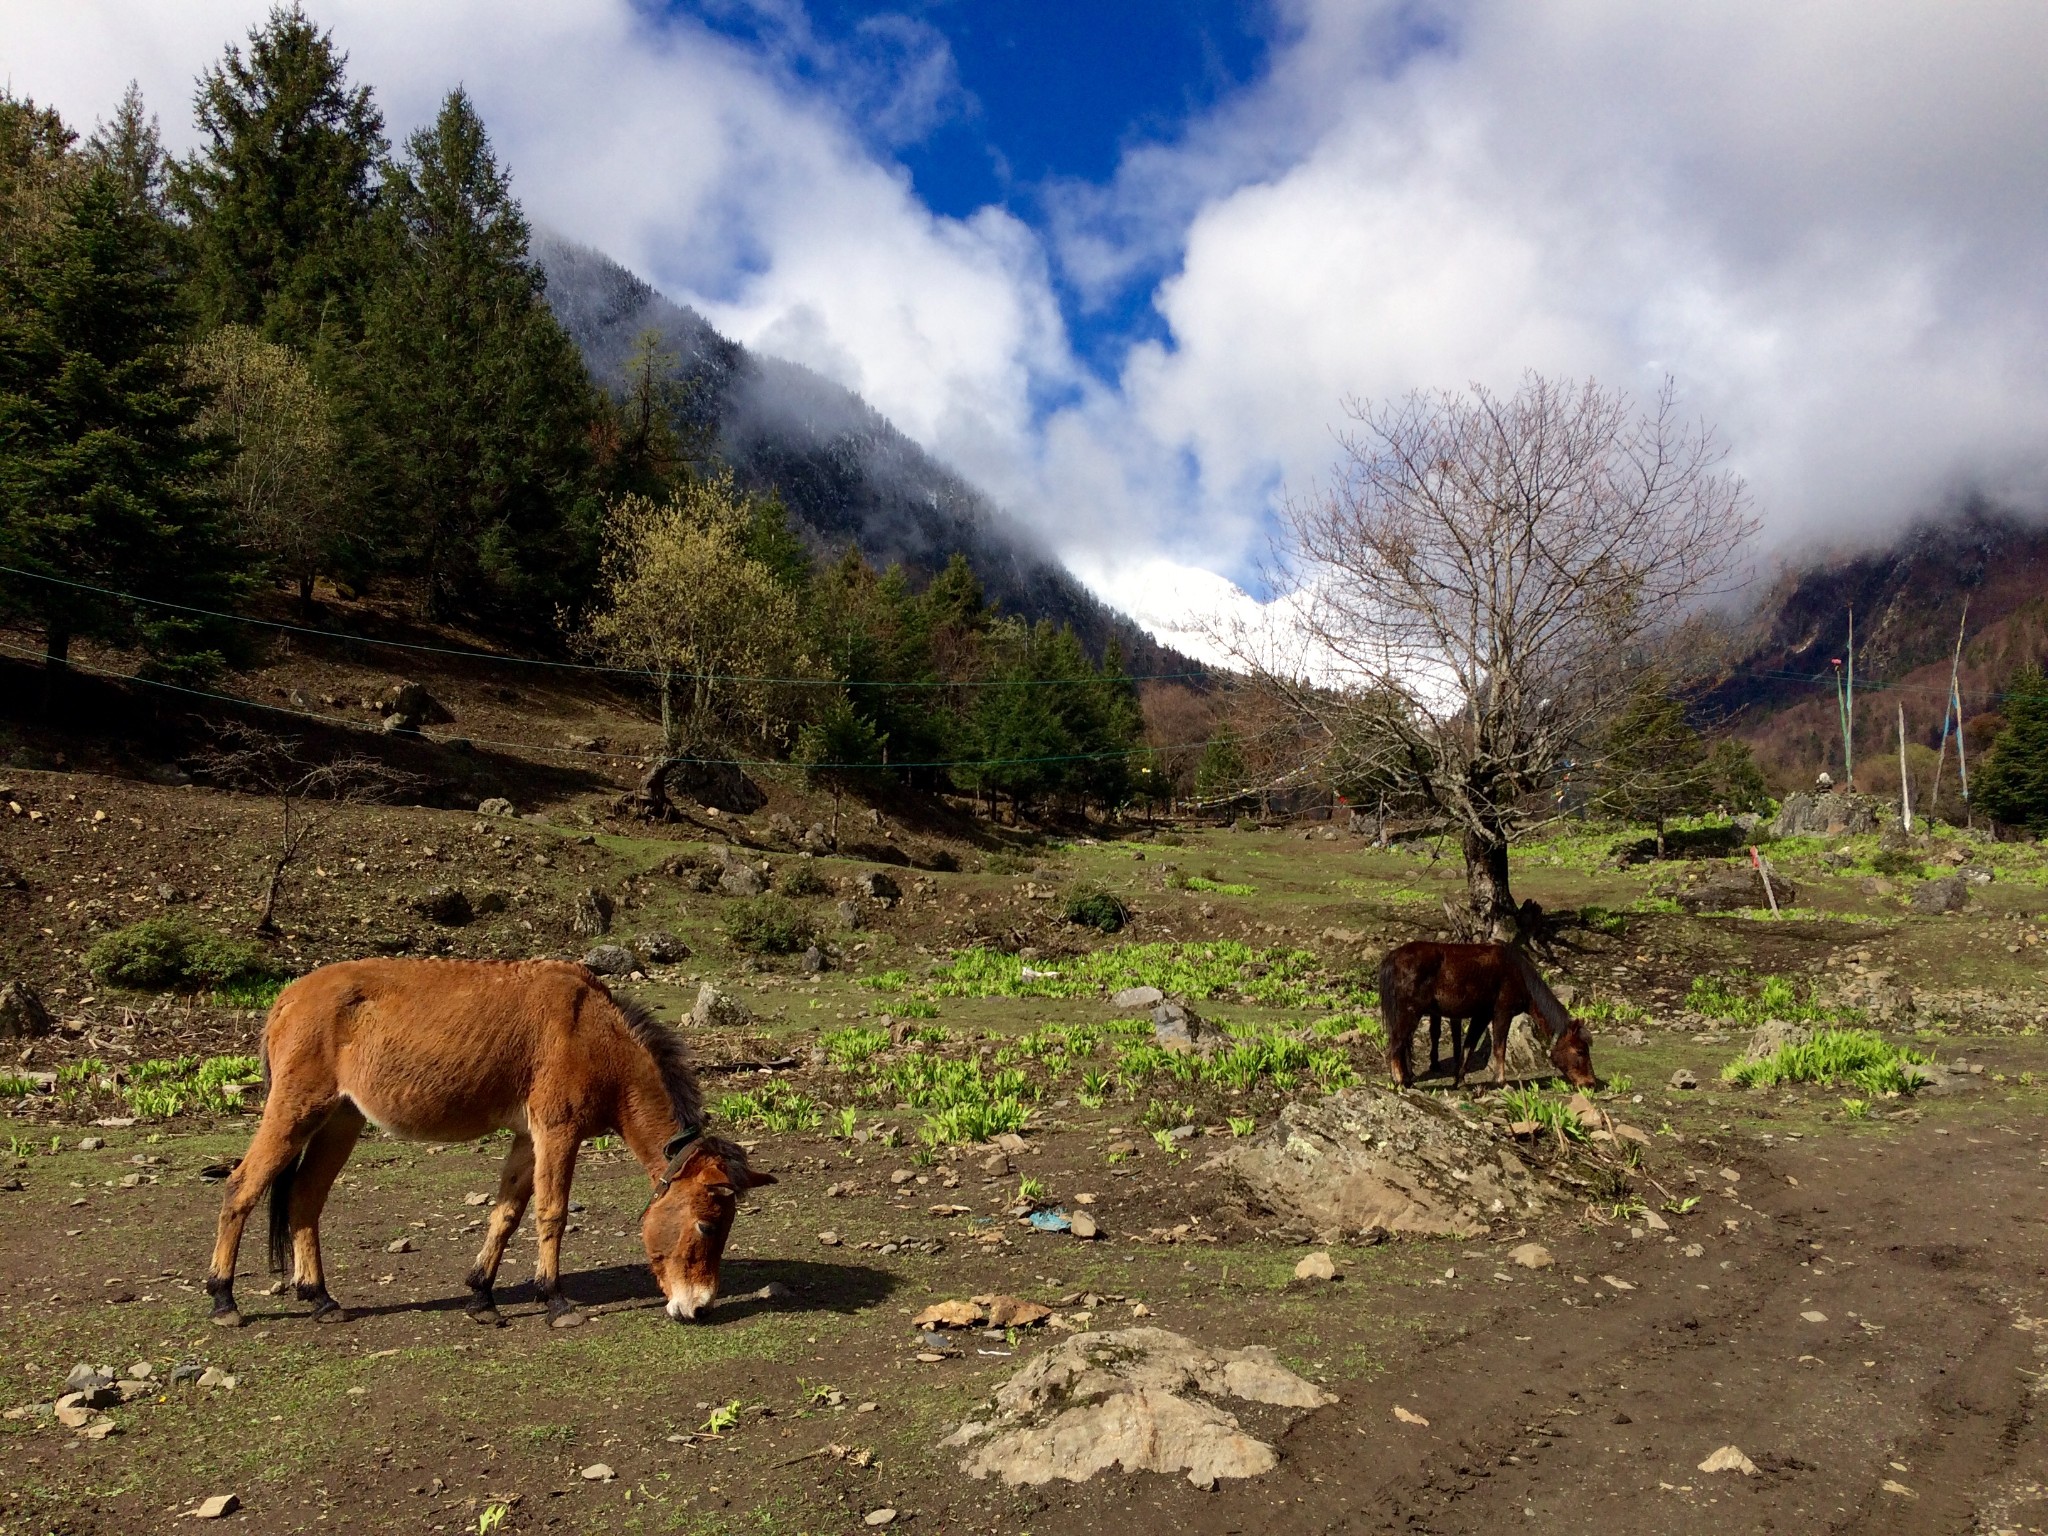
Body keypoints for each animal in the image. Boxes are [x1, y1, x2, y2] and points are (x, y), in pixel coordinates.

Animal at [205, 962, 774, 1335]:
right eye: (706, 1226)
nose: (699, 1308)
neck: (594, 1031)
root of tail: (287, 997)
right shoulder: (556, 1133)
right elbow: (551, 1213)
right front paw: (555, 1301)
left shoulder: (528, 1138)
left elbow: (506, 1214)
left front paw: (481, 1295)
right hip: (295, 1113)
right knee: (241, 1188)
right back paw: (223, 1298)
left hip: (339, 1121)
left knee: (304, 1198)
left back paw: (321, 1299)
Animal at [1376, 937, 1597, 1097]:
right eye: (1580, 1051)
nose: (1590, 1083)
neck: (1519, 974)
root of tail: (1392, 958)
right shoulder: (1502, 1012)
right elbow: (1500, 1047)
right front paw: (1501, 1082)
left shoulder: (1481, 1015)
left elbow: (1468, 1046)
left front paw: (1460, 1081)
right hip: (1410, 1012)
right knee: (1395, 1044)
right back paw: (1399, 1081)